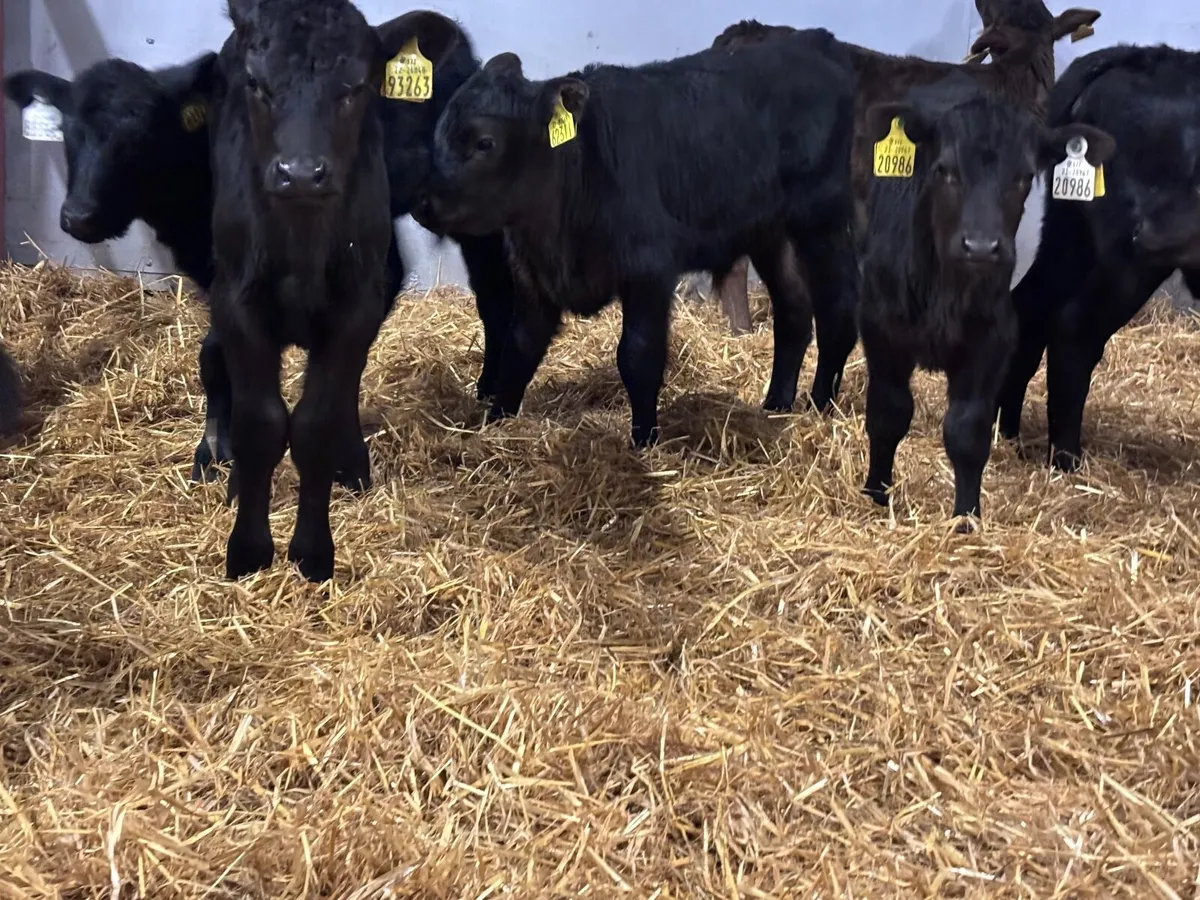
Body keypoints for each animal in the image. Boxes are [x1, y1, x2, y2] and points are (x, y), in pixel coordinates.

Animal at [2, 55, 407, 487]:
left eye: (141, 136)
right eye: (68, 133)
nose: (80, 216)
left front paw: (346, 460)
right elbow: (215, 357)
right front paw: (213, 452)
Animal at [205, 0, 460, 582]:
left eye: (355, 87)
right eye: (256, 84)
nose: (301, 173)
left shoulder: (357, 305)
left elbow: (314, 423)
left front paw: (312, 552)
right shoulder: (235, 301)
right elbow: (260, 422)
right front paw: (248, 549)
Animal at [412, 30, 858, 448]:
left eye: (484, 143)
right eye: (440, 131)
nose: (423, 202)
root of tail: (814, 42)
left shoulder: (648, 271)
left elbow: (638, 356)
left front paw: (644, 441)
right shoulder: (533, 276)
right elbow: (518, 349)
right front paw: (493, 426)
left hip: (823, 220)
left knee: (837, 311)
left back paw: (820, 406)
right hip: (770, 233)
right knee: (794, 310)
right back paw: (776, 405)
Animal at [858, 74, 1113, 524]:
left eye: (1025, 176)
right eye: (944, 170)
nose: (980, 247)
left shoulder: (991, 341)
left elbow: (967, 432)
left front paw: (966, 518)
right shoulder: (882, 330)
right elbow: (888, 413)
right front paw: (876, 496)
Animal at [996, 44, 1200, 471]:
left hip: (1069, 234)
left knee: (1029, 307)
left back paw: (1006, 435)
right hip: (1127, 260)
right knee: (1076, 329)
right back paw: (1066, 459)